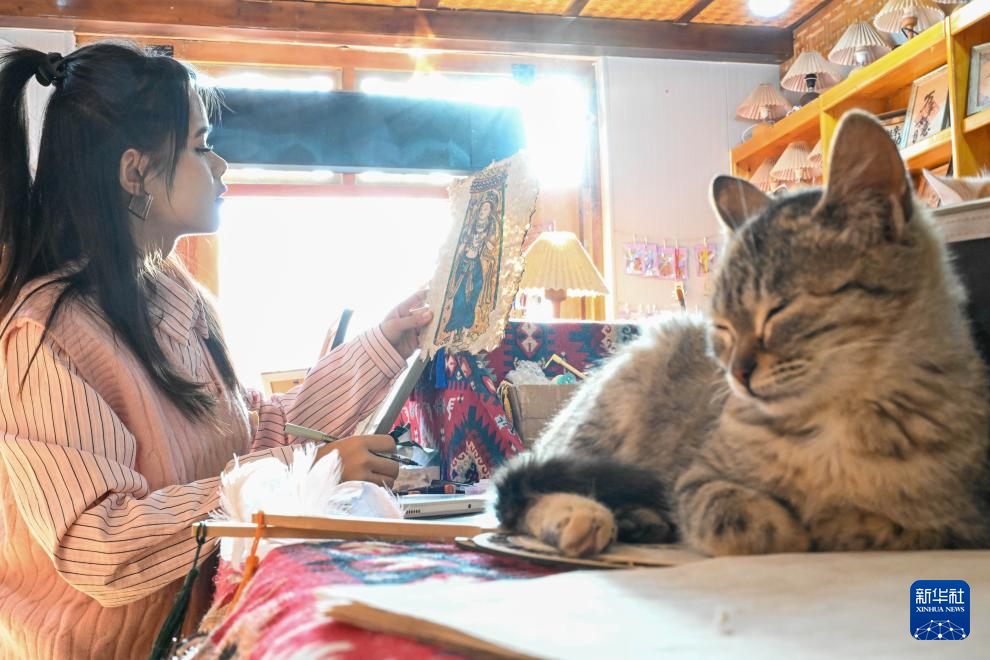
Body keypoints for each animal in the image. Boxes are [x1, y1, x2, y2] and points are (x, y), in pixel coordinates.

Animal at [494, 110, 990, 558]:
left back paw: (640, 519)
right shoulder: (698, 476)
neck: (839, 417)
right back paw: (582, 516)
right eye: (723, 326)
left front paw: (842, 521)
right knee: (518, 491)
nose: (738, 372)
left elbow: (892, 525)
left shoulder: (965, 517)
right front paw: (789, 526)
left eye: (779, 309)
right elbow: (736, 517)